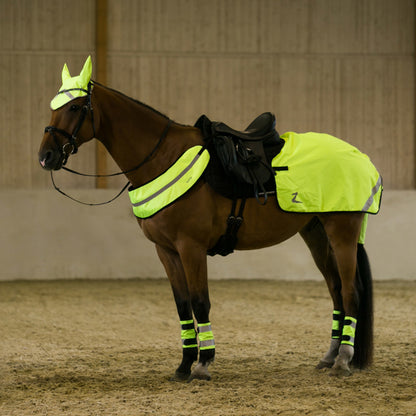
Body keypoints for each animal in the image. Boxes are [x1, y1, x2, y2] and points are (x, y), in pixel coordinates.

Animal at [39, 57, 376, 380]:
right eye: (54, 107)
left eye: (75, 107)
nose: (46, 157)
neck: (163, 156)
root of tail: (358, 156)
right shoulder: (166, 250)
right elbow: (182, 304)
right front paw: (184, 364)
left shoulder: (192, 247)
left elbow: (201, 301)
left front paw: (203, 363)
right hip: (316, 234)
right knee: (335, 289)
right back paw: (330, 356)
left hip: (342, 232)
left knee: (351, 291)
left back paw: (343, 360)